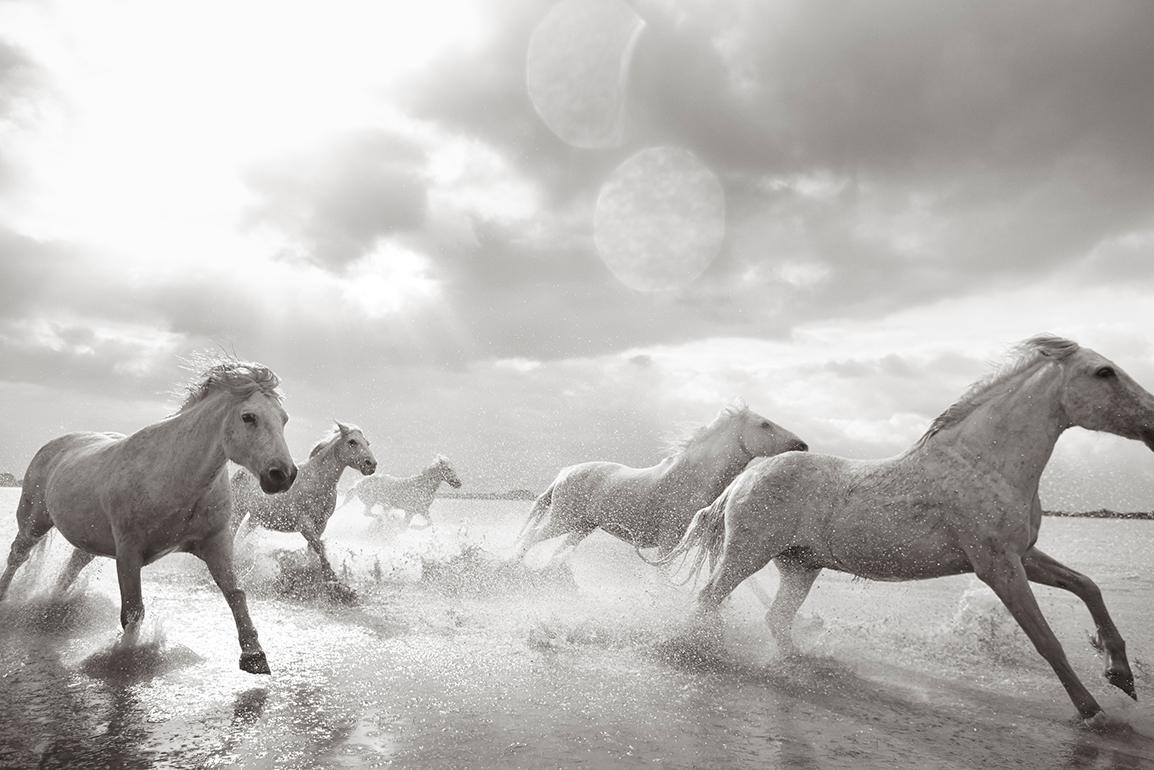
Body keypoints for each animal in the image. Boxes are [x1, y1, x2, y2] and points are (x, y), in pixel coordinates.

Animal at [0, 362, 297, 674]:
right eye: (248, 417)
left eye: (283, 419)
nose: (283, 475)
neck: (174, 476)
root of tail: (52, 446)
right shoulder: (128, 553)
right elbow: (133, 610)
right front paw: (126, 654)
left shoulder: (215, 543)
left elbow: (235, 593)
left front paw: (254, 655)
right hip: (34, 522)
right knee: (17, 556)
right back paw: (5, 597)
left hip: (89, 538)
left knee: (73, 566)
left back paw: (54, 600)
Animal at [231, 424, 376, 581]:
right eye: (352, 442)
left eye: (368, 443)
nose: (371, 465)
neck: (316, 481)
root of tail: (241, 472)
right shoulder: (304, 524)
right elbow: (318, 547)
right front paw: (330, 576)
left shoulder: (321, 523)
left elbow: (313, 548)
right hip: (238, 511)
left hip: (255, 518)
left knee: (243, 533)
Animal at [514, 404, 803, 565]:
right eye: (764, 424)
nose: (802, 445)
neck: (691, 481)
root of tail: (564, 474)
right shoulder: (668, 543)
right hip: (562, 521)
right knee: (531, 538)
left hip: (582, 527)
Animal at [664, 337, 1154, 724]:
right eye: (1104, 372)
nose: (1153, 420)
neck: (981, 464)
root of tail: (743, 479)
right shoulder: (998, 567)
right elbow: (1047, 641)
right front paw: (1092, 711)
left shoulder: (1023, 555)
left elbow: (1087, 586)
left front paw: (1121, 676)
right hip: (747, 554)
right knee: (709, 598)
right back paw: (690, 650)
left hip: (800, 566)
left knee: (776, 618)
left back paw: (801, 661)